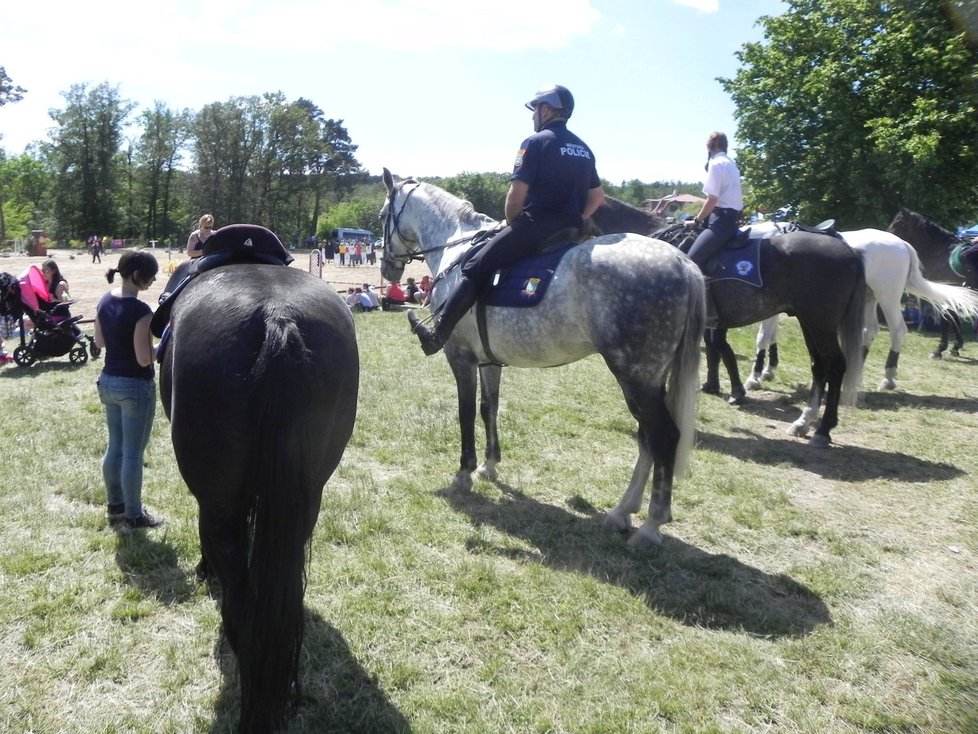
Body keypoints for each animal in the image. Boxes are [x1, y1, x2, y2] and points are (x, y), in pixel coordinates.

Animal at [588, 198, 860, 446]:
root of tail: (847, 250)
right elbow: (713, 351)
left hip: (820, 322)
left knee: (835, 366)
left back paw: (823, 430)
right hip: (810, 322)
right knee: (819, 366)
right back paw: (804, 422)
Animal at [740, 224, 976, 394]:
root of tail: (901, 244)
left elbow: (763, 337)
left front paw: (755, 376)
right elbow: (771, 336)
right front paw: (768, 370)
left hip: (887, 296)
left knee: (898, 330)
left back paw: (888, 378)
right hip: (869, 299)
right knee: (869, 331)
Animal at [884, 207, 976, 360]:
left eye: (898, 222)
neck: (941, 256)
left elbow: (948, 319)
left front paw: (939, 350)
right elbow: (954, 319)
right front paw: (955, 347)